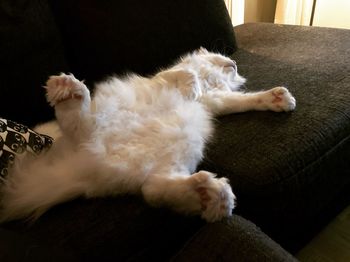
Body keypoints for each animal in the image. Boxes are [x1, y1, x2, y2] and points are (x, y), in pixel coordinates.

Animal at [0, 48, 296, 222]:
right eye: (221, 59)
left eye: (232, 66)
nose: (233, 62)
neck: (208, 85)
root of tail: (83, 170)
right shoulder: (167, 77)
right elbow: (184, 73)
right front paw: (191, 87)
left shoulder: (218, 101)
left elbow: (245, 100)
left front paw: (279, 99)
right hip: (97, 125)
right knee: (80, 124)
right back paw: (68, 92)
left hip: (172, 157)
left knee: (153, 191)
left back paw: (209, 196)